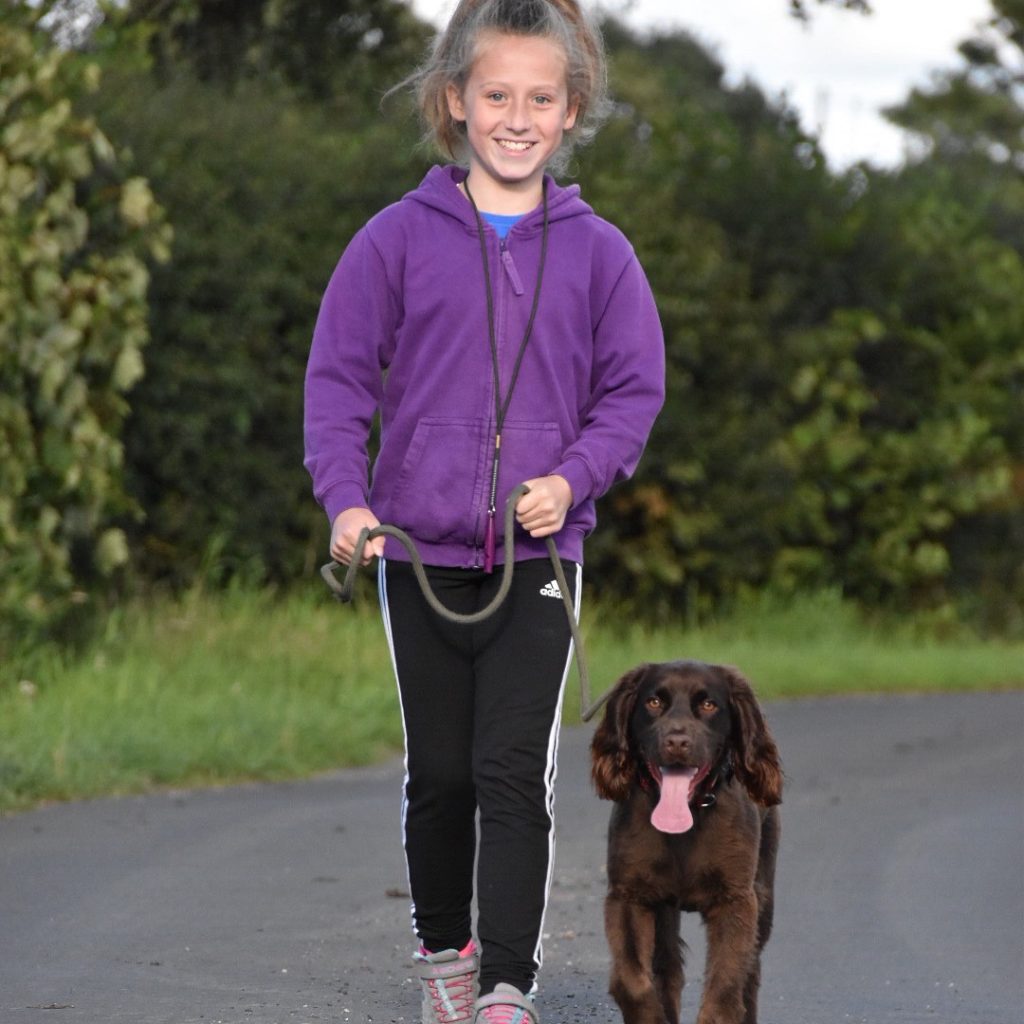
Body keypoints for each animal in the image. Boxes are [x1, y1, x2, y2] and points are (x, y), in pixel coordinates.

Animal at [589, 659, 778, 1019]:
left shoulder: (736, 900)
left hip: (764, 895)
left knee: (751, 975)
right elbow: (632, 981)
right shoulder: (629, 896)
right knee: (669, 970)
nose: (677, 742)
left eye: (709, 705)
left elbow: (724, 989)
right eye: (653, 702)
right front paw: (651, 1016)